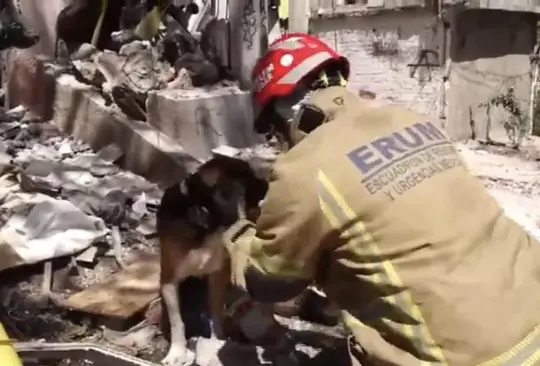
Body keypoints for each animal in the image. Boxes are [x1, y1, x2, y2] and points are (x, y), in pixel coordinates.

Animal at [156, 156, 268, 364]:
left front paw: (216, 340)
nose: (268, 181)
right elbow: (177, 320)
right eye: (249, 176)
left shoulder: (217, 275)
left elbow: (215, 313)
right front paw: (176, 352)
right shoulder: (169, 278)